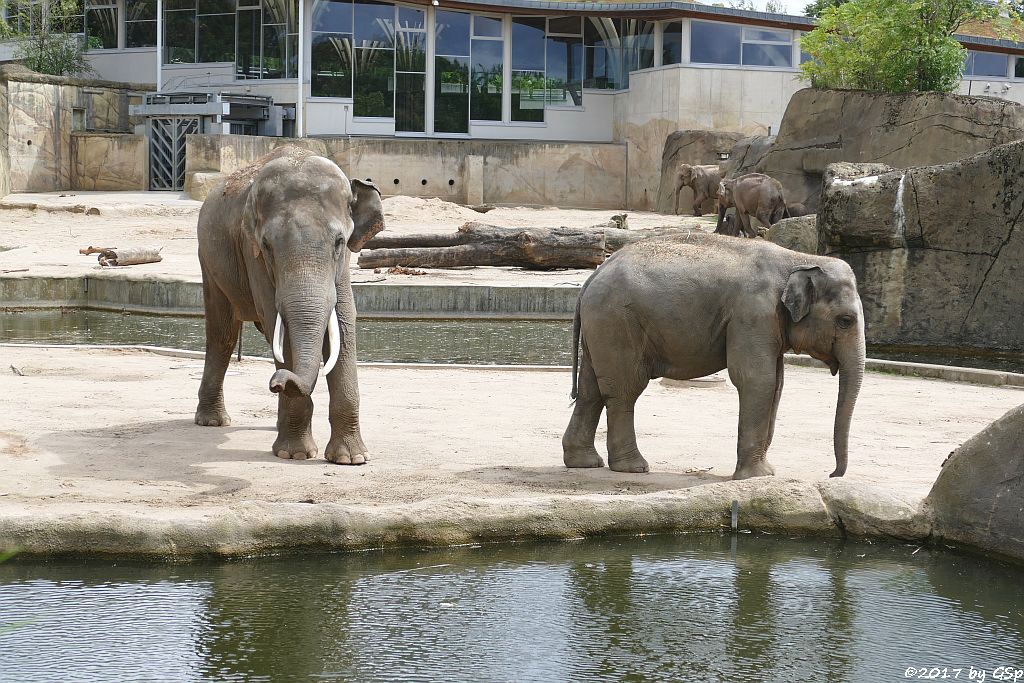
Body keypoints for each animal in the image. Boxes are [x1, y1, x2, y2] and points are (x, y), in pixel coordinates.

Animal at [193, 144, 382, 464]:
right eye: (267, 246)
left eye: (339, 241)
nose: (277, 383)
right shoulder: (252, 252)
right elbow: (276, 322)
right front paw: (294, 454)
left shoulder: (343, 264)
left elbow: (344, 322)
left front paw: (351, 459)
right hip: (208, 261)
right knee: (222, 334)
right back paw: (212, 421)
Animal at [561, 233, 864, 481]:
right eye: (845, 321)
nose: (832, 474)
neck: (800, 259)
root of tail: (591, 278)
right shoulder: (753, 314)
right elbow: (758, 380)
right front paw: (755, 477)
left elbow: (777, 384)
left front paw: (767, 473)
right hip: (618, 323)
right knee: (625, 390)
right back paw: (634, 468)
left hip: (601, 327)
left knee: (591, 390)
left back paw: (585, 463)